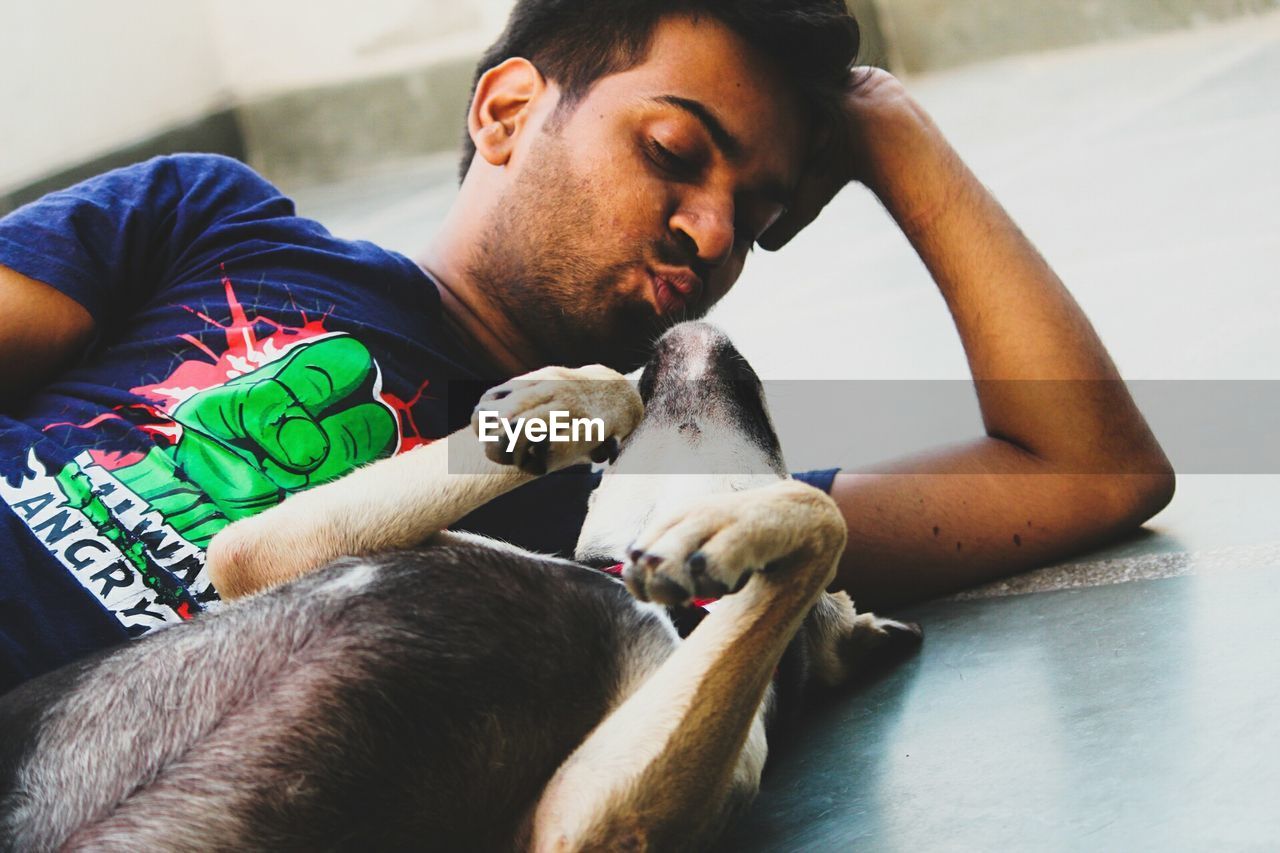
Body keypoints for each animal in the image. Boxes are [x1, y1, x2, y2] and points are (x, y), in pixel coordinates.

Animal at [0, 320, 921, 850]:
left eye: (764, 416)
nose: (712, 329)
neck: (626, 588)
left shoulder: (582, 822)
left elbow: (822, 516)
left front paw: (735, 529)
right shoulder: (255, 550)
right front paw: (566, 398)